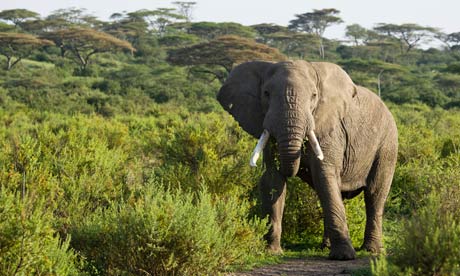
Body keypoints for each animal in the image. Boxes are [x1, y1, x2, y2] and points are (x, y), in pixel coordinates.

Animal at [217, 59, 398, 260]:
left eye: (314, 95)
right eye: (266, 93)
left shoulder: (330, 129)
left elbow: (324, 175)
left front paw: (343, 256)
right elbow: (273, 179)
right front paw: (271, 251)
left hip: (387, 144)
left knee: (374, 194)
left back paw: (372, 250)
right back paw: (326, 246)